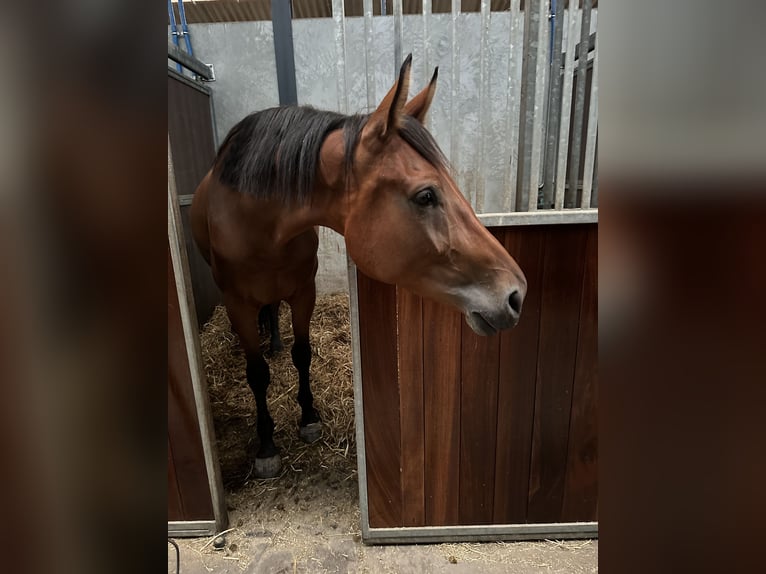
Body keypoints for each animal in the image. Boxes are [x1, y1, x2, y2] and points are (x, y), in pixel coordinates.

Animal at [190, 55, 528, 476]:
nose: (516, 294)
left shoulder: (304, 291)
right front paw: (266, 445)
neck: (261, 225)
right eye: (426, 195)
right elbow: (257, 374)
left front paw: (309, 418)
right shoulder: (237, 303)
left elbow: (303, 354)